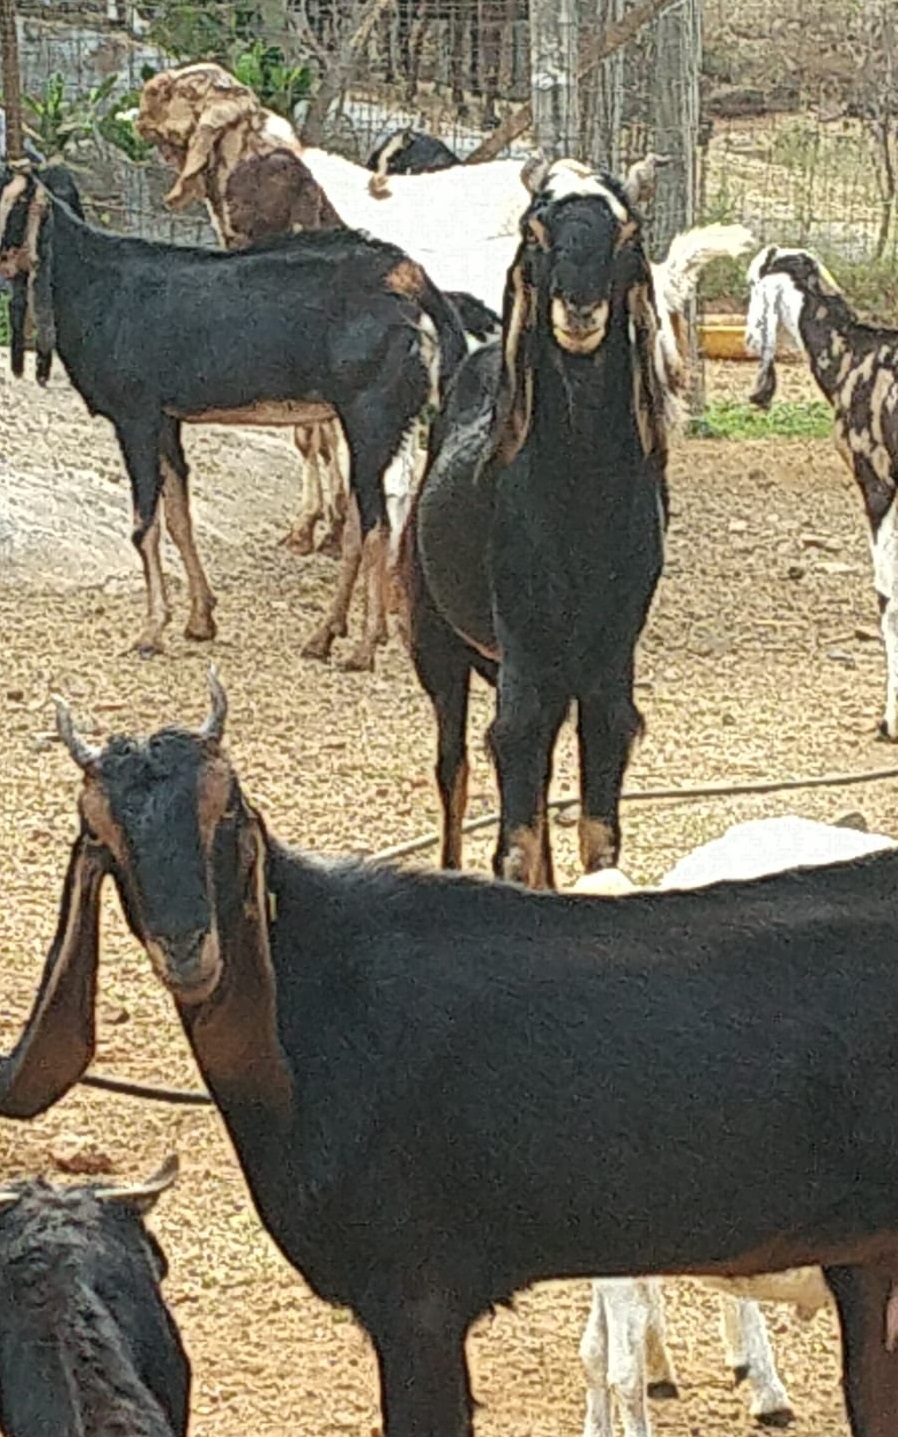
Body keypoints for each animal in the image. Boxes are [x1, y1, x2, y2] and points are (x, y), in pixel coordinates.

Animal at [0, 163, 467, 666]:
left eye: (10, 204)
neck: (97, 286)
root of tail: (409, 278)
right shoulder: (165, 419)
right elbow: (179, 516)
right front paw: (200, 619)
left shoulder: (135, 416)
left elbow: (145, 526)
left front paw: (151, 631)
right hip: (391, 421)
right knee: (374, 516)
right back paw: (335, 635)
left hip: (369, 413)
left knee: (375, 523)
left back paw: (356, 648)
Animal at [402, 157, 670, 888]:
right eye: (536, 232)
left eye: (629, 233)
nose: (578, 309)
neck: (579, 503)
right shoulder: (523, 644)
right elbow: (513, 828)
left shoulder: (610, 655)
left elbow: (599, 827)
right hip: (438, 641)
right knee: (454, 767)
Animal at [745, 244, 898, 740]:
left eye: (750, 283)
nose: (748, 340)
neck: (852, 354)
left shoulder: (878, 485)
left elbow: (887, 597)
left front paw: (891, 720)